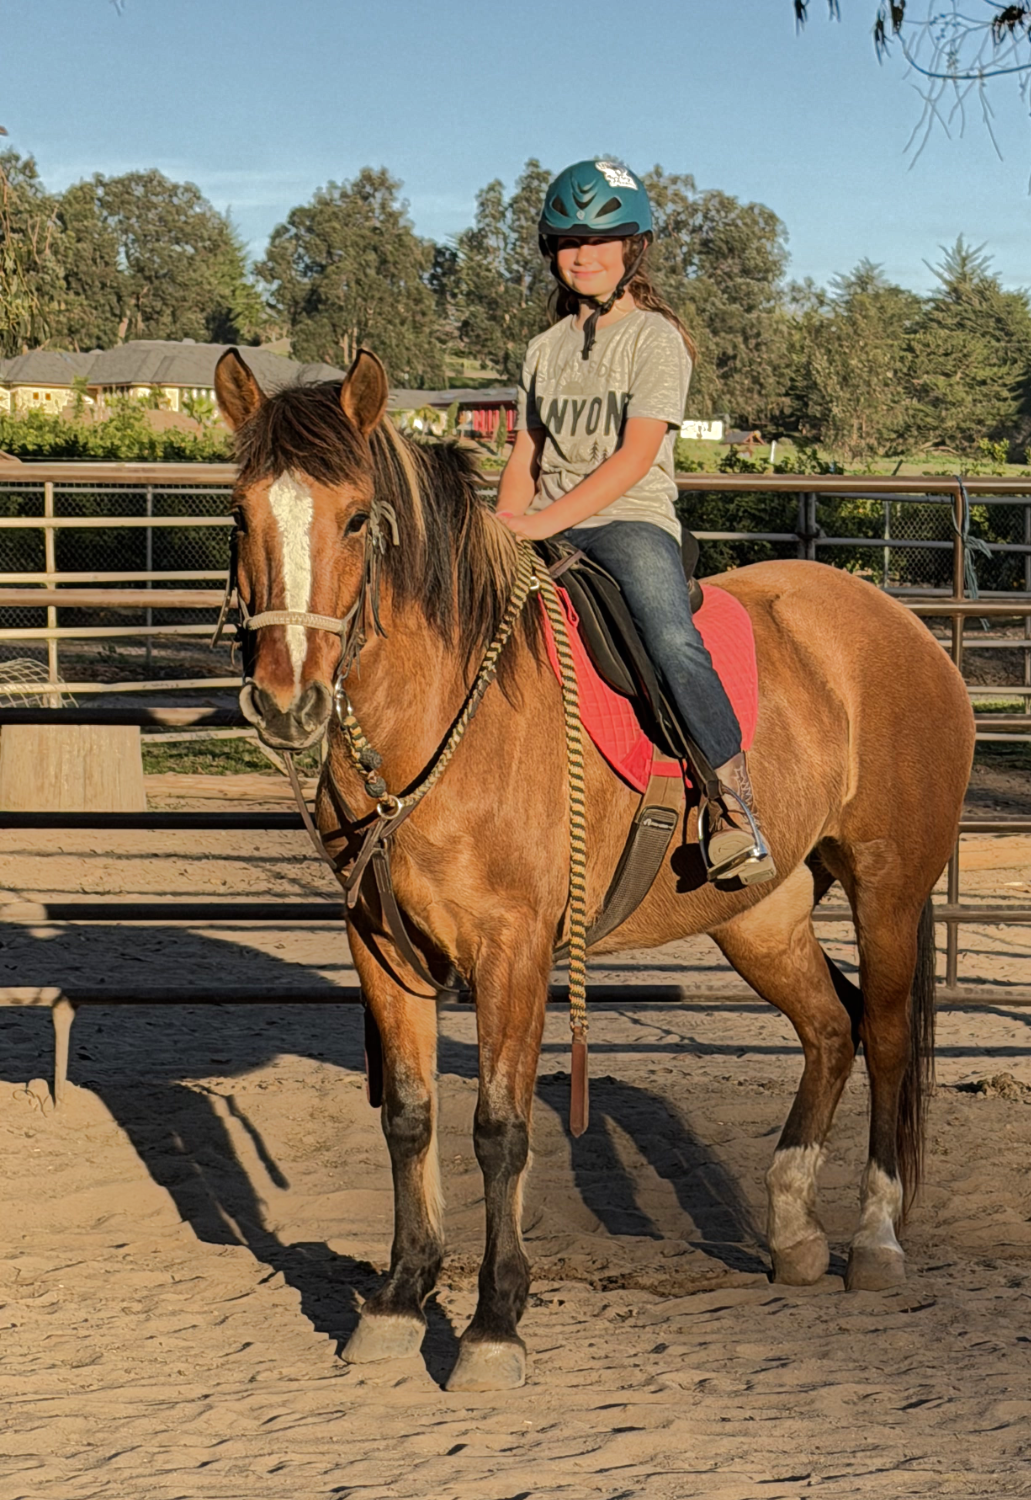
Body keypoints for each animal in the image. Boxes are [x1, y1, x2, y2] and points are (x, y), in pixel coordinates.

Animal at [214, 347, 975, 1393]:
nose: (287, 699)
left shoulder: (515, 951)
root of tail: (899, 625)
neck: (445, 715)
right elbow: (409, 1117)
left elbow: (499, 1129)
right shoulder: (380, 946)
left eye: (359, 517)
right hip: (759, 917)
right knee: (830, 1029)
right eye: (238, 513)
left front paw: (493, 1326)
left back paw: (874, 1243)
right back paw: (790, 1233)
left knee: (890, 1037)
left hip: (888, 891)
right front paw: (399, 1300)